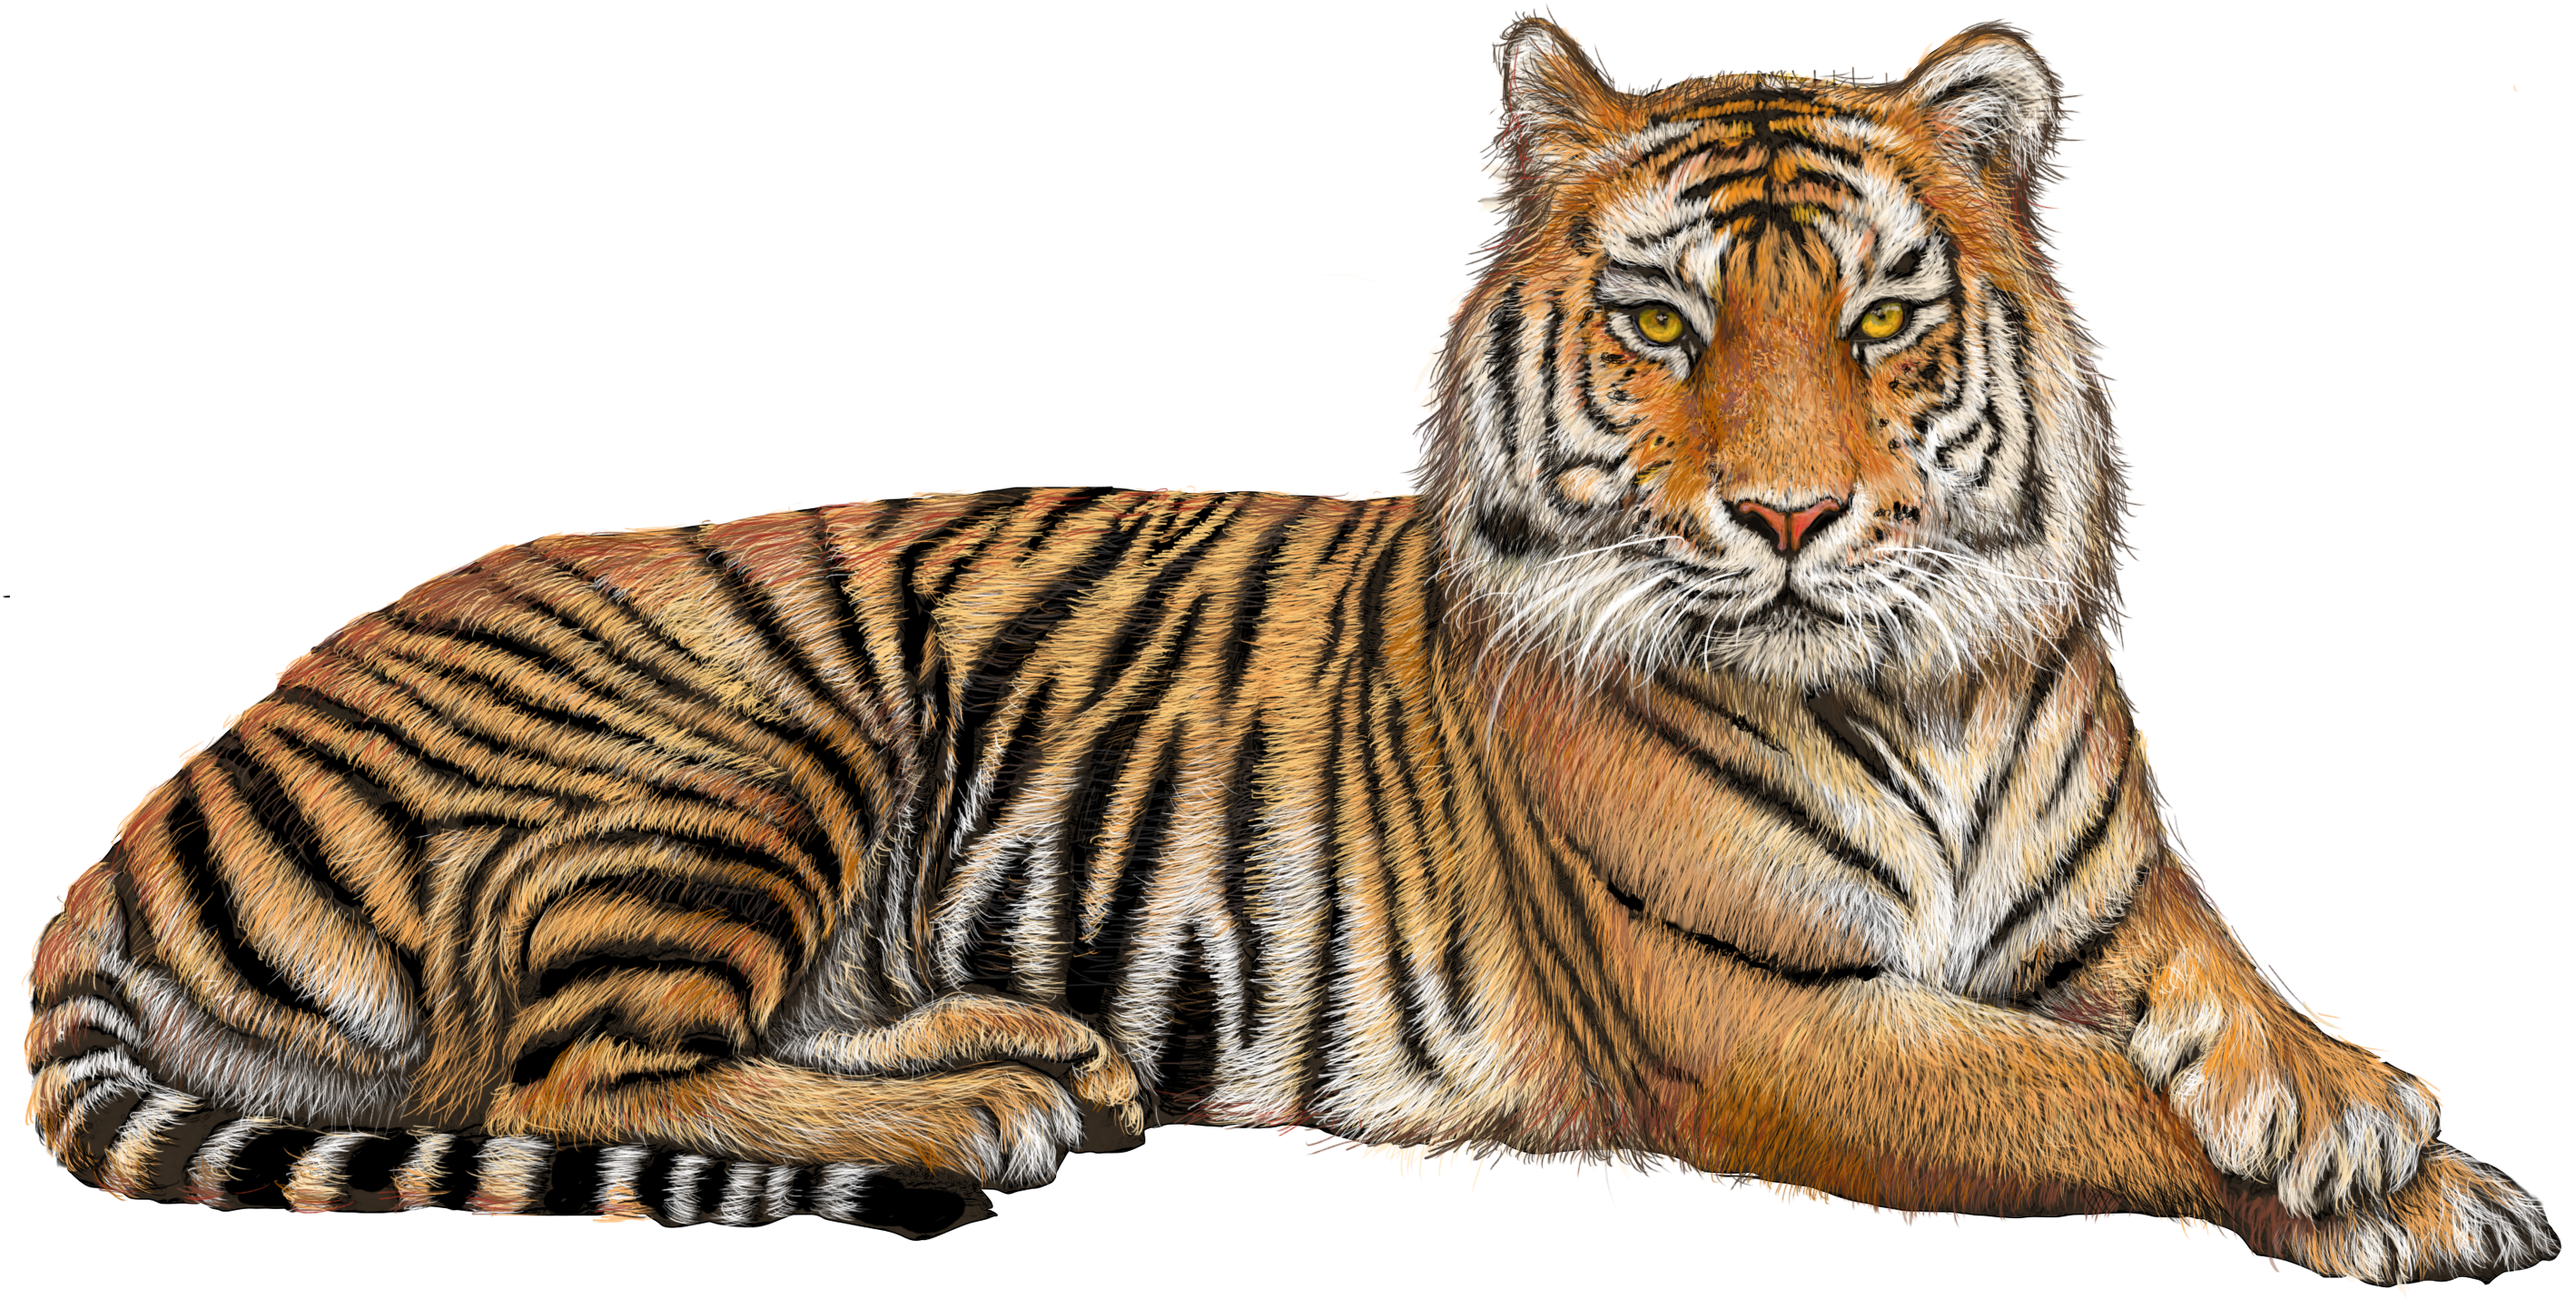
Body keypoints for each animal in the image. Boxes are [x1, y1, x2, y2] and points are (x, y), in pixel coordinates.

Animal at [21, 16, 2559, 1284]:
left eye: (1875, 322)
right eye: (1660, 327)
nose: (1791, 518)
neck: (1914, 679)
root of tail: (160, 790)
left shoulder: (2107, 885)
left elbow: (2209, 960)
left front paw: (2353, 1107)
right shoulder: (1764, 1024)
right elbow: (2072, 1094)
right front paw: (2403, 1187)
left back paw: (1036, 1051)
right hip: (740, 738)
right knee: (557, 1074)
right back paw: (976, 1105)